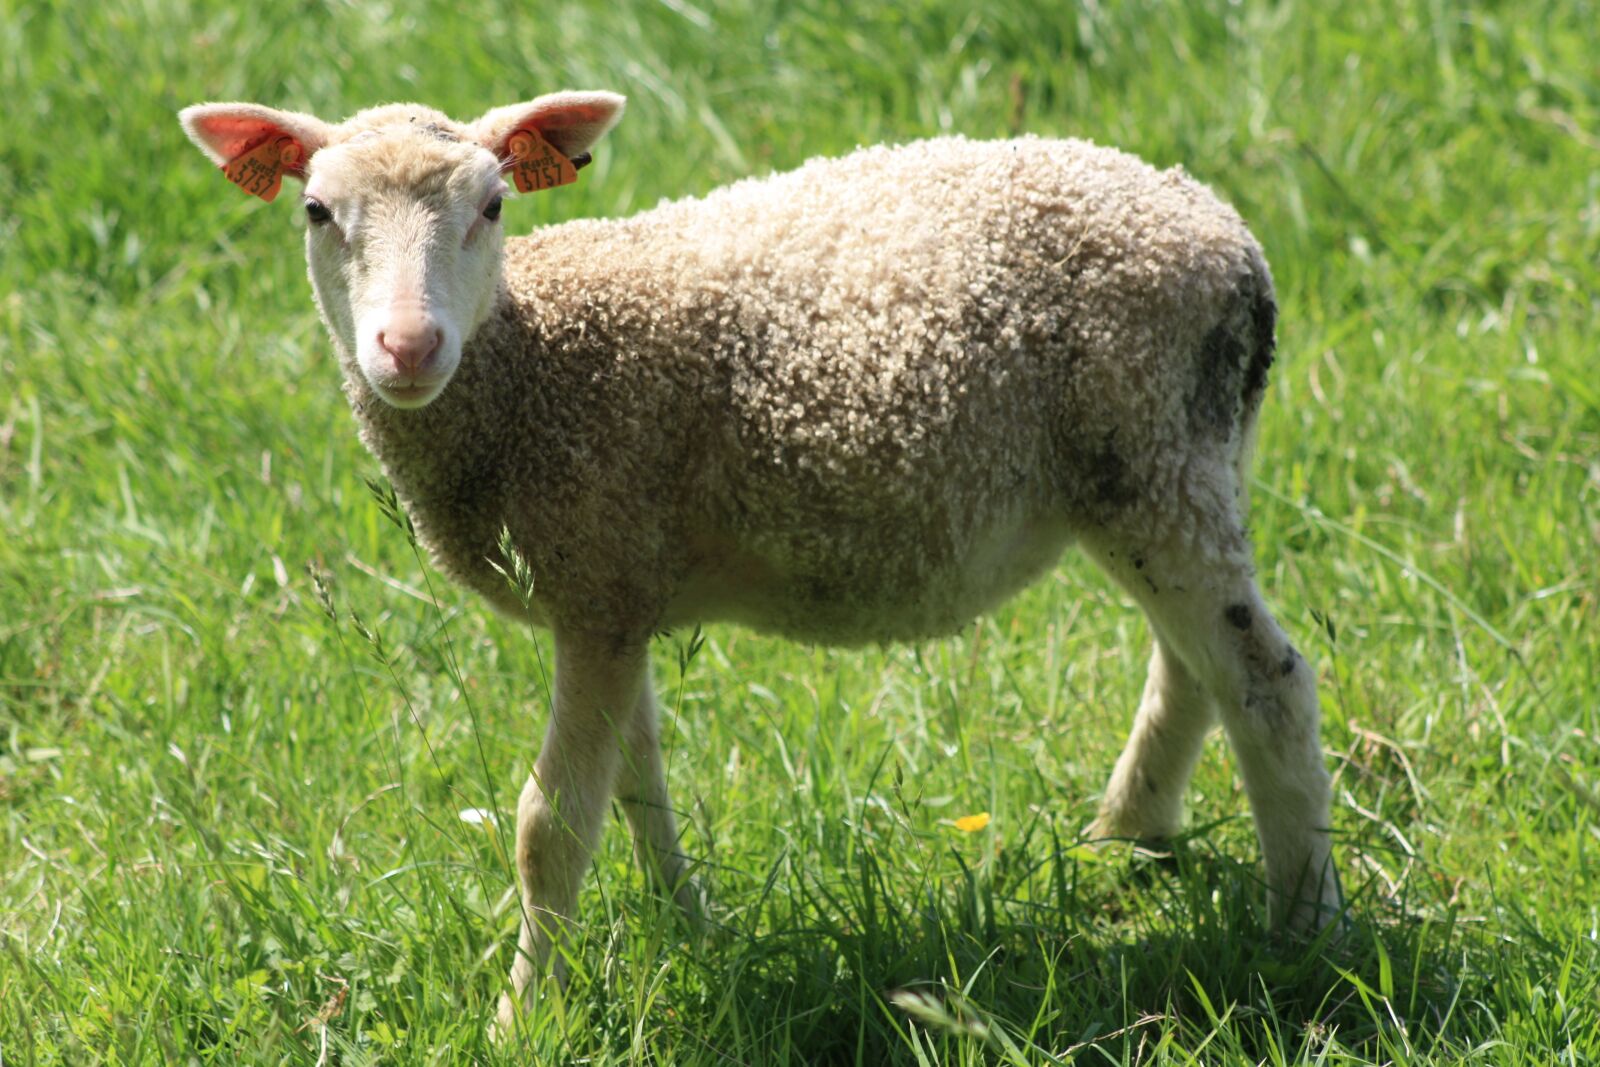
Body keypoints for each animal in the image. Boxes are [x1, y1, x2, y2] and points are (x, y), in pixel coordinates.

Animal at [178, 91, 1344, 1031]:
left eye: (495, 206)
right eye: (317, 213)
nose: (408, 349)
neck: (527, 363)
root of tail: (1231, 240)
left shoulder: (594, 571)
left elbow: (552, 824)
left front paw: (519, 1017)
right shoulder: (617, 581)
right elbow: (638, 779)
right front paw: (688, 930)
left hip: (1149, 449)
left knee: (1266, 679)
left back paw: (1305, 931)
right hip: (1176, 463)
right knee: (1189, 665)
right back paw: (1127, 839)